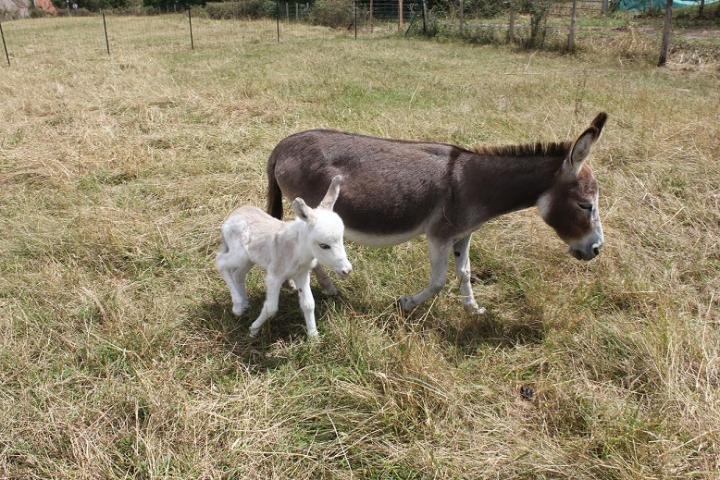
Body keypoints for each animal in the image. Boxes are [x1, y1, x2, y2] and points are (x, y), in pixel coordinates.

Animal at [214, 176, 352, 338]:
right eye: (324, 245)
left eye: (341, 240)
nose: (347, 270)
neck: (298, 251)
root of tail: (233, 215)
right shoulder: (274, 276)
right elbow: (271, 308)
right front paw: (253, 330)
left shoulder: (302, 274)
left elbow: (308, 304)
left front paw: (313, 336)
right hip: (239, 255)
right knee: (220, 262)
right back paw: (237, 306)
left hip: (249, 259)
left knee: (238, 274)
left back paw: (244, 304)